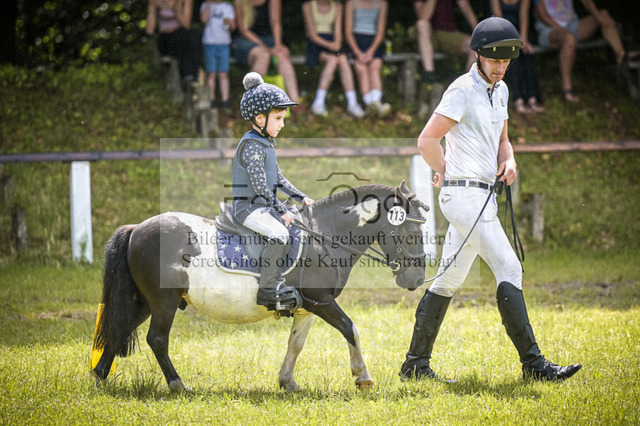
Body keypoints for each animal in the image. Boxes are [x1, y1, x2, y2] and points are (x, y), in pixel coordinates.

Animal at [91, 181, 429, 392]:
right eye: (412, 232)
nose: (416, 280)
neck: (323, 237)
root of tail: (137, 228)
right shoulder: (321, 302)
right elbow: (351, 329)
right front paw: (363, 377)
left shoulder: (308, 308)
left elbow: (295, 344)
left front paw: (287, 382)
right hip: (163, 302)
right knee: (157, 339)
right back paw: (178, 385)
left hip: (146, 302)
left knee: (119, 330)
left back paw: (98, 378)